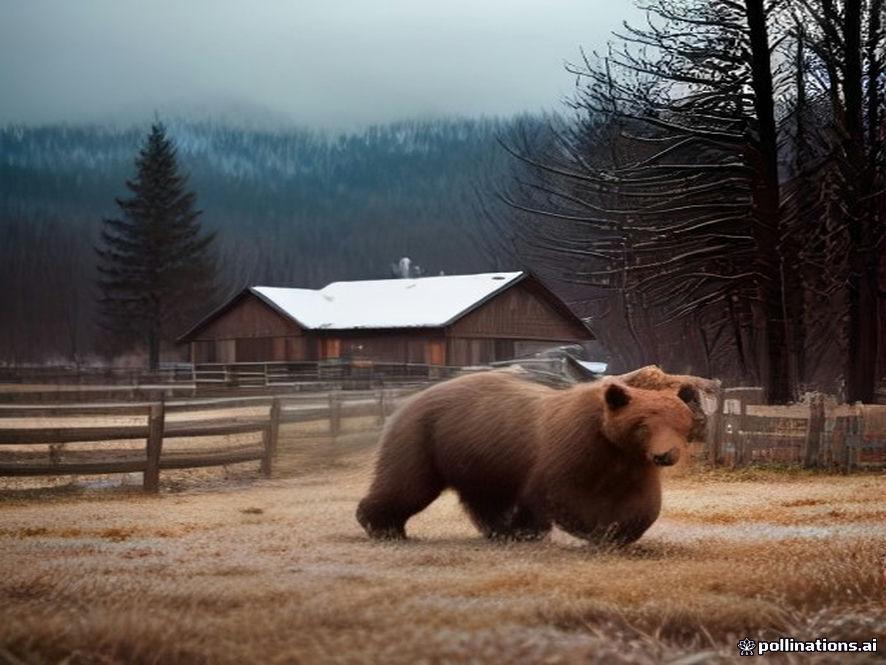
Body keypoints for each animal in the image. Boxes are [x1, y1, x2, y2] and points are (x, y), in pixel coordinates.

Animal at [356, 370, 697, 544]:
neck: (608, 443)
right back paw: (383, 527)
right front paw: (600, 529)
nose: (666, 455)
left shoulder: (631, 462)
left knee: (485, 498)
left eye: (681, 424)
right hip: (424, 438)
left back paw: (501, 530)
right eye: (643, 425)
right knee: (408, 486)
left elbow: (644, 502)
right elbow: (557, 492)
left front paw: (621, 530)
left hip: (478, 456)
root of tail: (407, 401)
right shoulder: (571, 447)